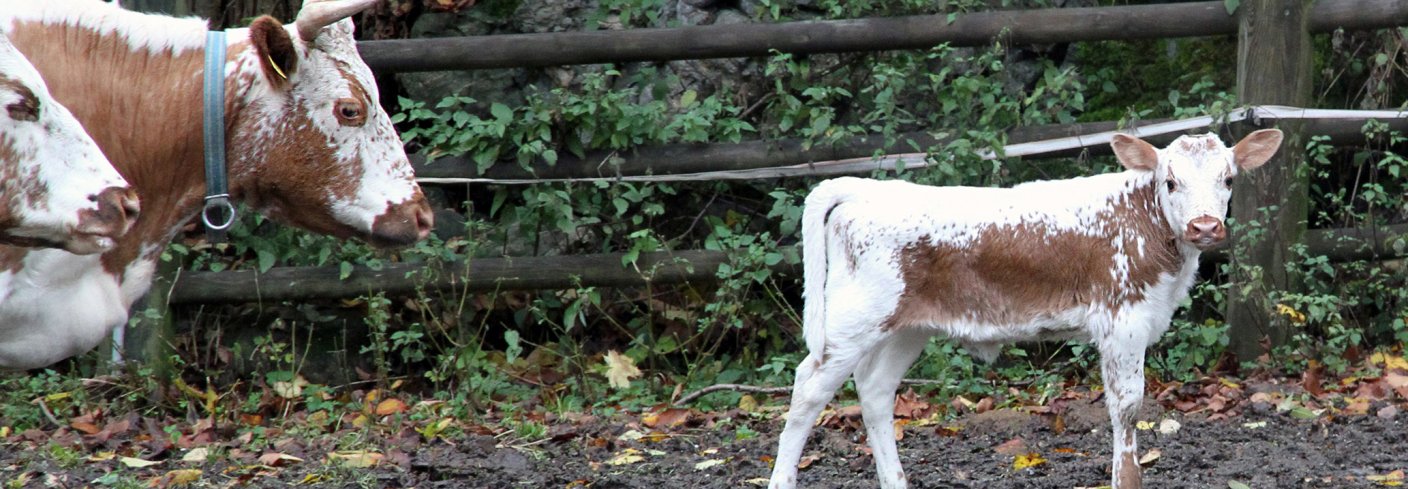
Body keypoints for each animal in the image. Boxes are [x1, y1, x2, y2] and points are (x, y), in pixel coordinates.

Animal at [771, 130, 1289, 489]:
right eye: (1171, 181)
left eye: (1228, 179)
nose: (1205, 226)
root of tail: (863, 188)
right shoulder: (1122, 321)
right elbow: (1126, 407)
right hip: (852, 319)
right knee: (808, 389)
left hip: (906, 326)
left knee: (875, 390)